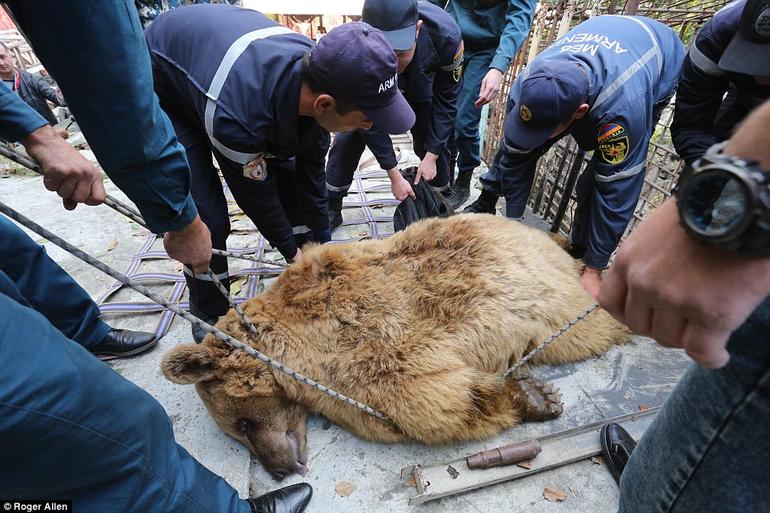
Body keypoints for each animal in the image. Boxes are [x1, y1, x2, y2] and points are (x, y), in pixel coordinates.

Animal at [160, 212, 624, 480]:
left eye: (241, 425)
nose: (279, 470)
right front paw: (536, 394)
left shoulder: (352, 345)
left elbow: (425, 399)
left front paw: (534, 395)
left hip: (557, 308)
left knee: (590, 326)